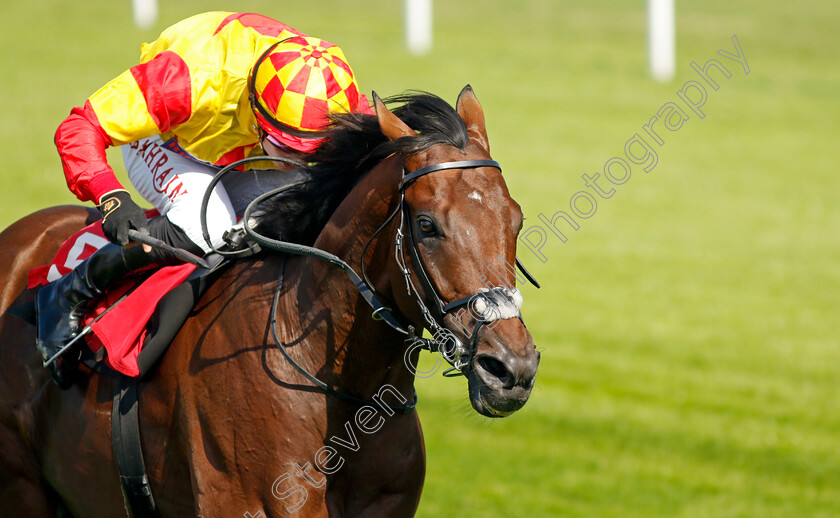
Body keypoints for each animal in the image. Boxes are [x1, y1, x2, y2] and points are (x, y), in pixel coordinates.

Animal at [0, 87, 540, 516]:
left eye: (515, 219)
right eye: (427, 225)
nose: (511, 369)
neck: (342, 389)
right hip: (23, 488)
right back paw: (61, 307)